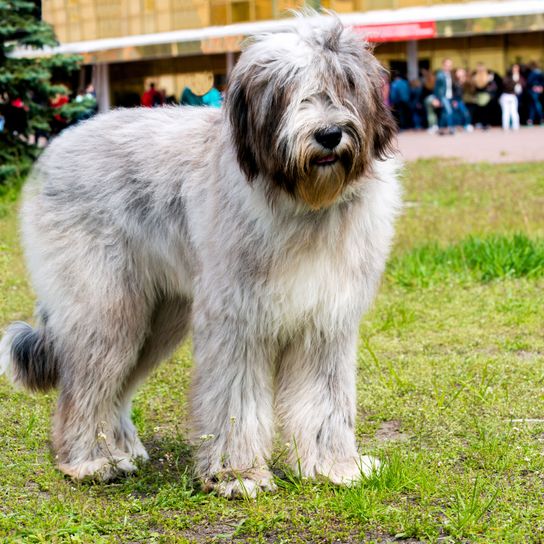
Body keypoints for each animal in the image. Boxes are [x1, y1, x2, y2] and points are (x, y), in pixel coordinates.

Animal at [0, 14, 402, 498]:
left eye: (346, 84)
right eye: (288, 90)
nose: (328, 134)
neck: (305, 206)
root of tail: (59, 143)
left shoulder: (325, 323)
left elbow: (325, 400)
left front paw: (334, 466)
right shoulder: (237, 321)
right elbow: (235, 399)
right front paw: (236, 474)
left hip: (159, 317)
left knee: (117, 387)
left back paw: (119, 448)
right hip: (106, 306)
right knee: (84, 388)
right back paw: (89, 460)